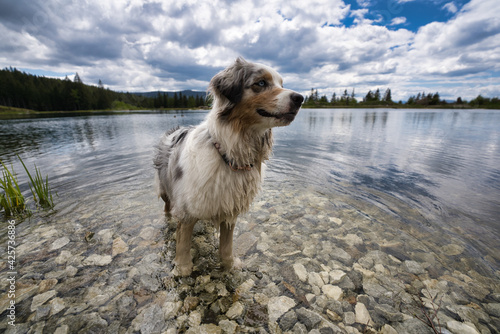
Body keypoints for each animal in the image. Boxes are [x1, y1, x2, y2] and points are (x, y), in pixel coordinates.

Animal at [153, 58, 300, 276]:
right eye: (261, 83)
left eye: (281, 84)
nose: (300, 98)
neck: (231, 152)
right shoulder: (187, 208)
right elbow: (183, 244)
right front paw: (183, 269)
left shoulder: (229, 206)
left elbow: (226, 245)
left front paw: (229, 266)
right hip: (165, 189)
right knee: (166, 207)